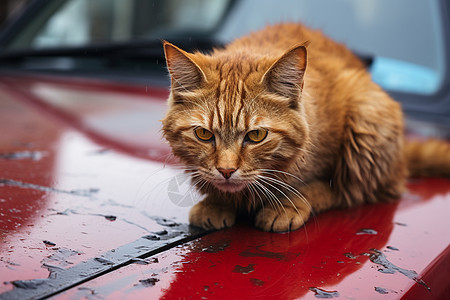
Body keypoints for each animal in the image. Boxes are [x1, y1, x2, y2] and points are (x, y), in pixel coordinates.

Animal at [162, 22, 450, 232]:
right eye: (203, 134)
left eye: (256, 135)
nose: (226, 171)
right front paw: (216, 201)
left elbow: (330, 187)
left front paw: (287, 203)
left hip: (367, 116)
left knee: (351, 192)